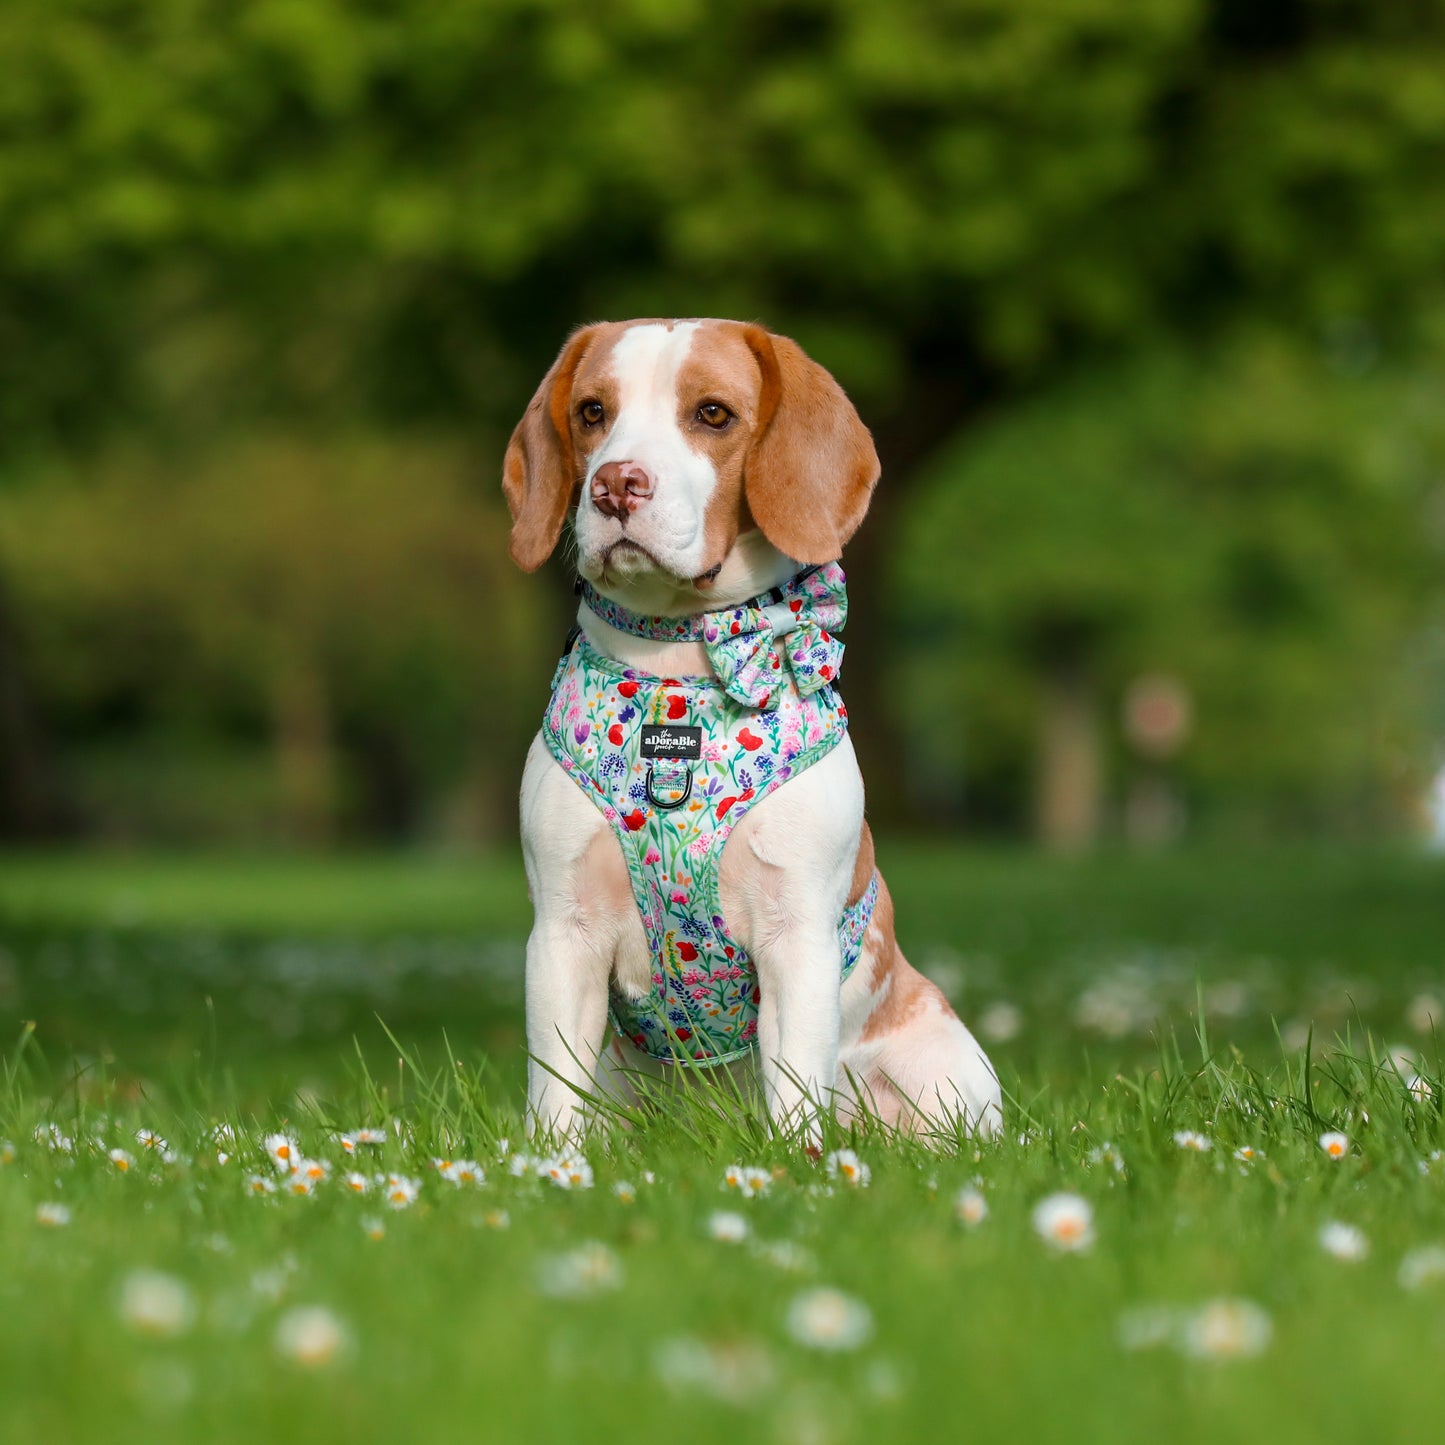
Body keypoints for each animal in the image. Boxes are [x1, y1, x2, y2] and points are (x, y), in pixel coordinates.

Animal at [502, 319, 999, 1138]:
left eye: (712, 414)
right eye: (591, 412)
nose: (614, 484)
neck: (678, 676)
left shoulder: (796, 937)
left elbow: (794, 1090)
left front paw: (796, 1163)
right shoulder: (561, 936)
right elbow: (553, 1096)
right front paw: (549, 1163)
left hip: (944, 1070)